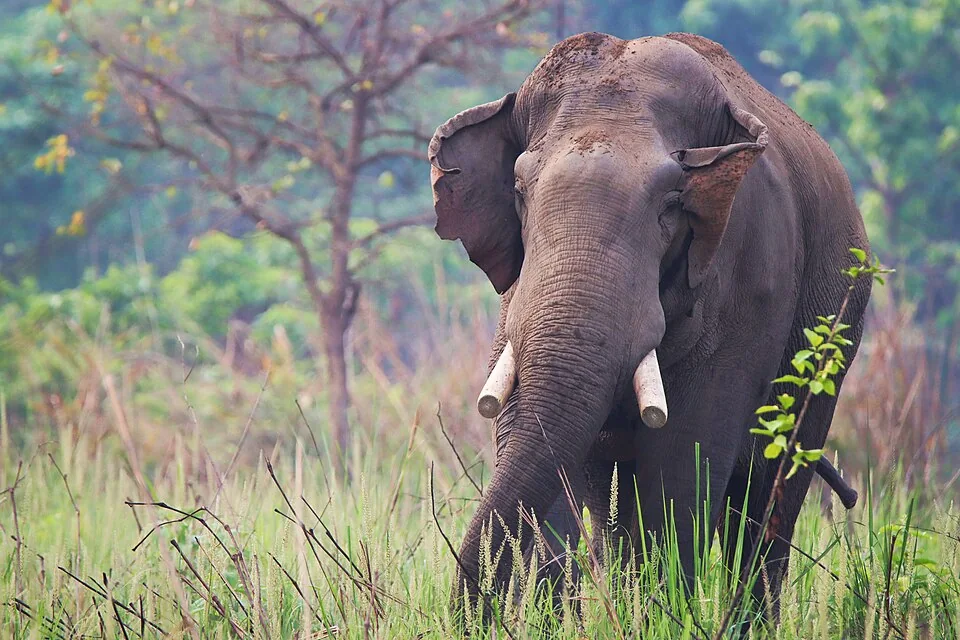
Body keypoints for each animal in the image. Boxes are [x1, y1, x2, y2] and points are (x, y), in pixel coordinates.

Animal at [428, 32, 871, 621]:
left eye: (672, 203)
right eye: (519, 191)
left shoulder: (753, 272)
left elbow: (685, 456)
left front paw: (660, 615)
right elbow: (533, 432)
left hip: (833, 341)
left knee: (767, 502)